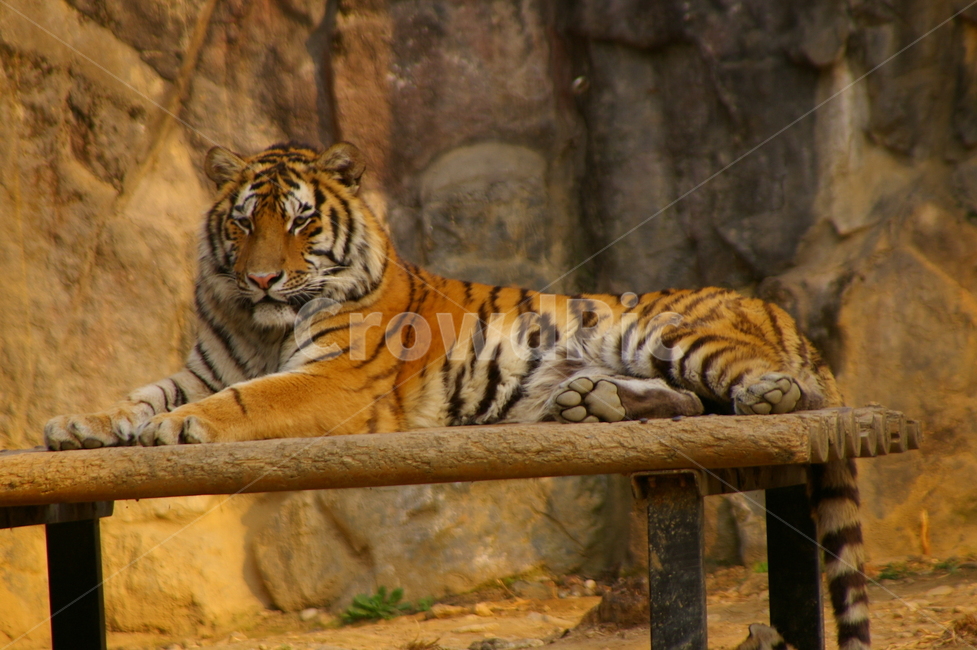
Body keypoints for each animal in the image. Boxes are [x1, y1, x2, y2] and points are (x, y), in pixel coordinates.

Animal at [44, 141, 870, 650]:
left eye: (302, 222)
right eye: (244, 224)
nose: (262, 278)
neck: (260, 325)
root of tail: (778, 312)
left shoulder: (332, 378)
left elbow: (245, 401)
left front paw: (177, 428)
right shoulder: (205, 365)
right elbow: (138, 395)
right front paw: (76, 426)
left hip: (670, 330)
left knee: (773, 389)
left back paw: (767, 394)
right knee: (691, 403)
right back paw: (587, 404)